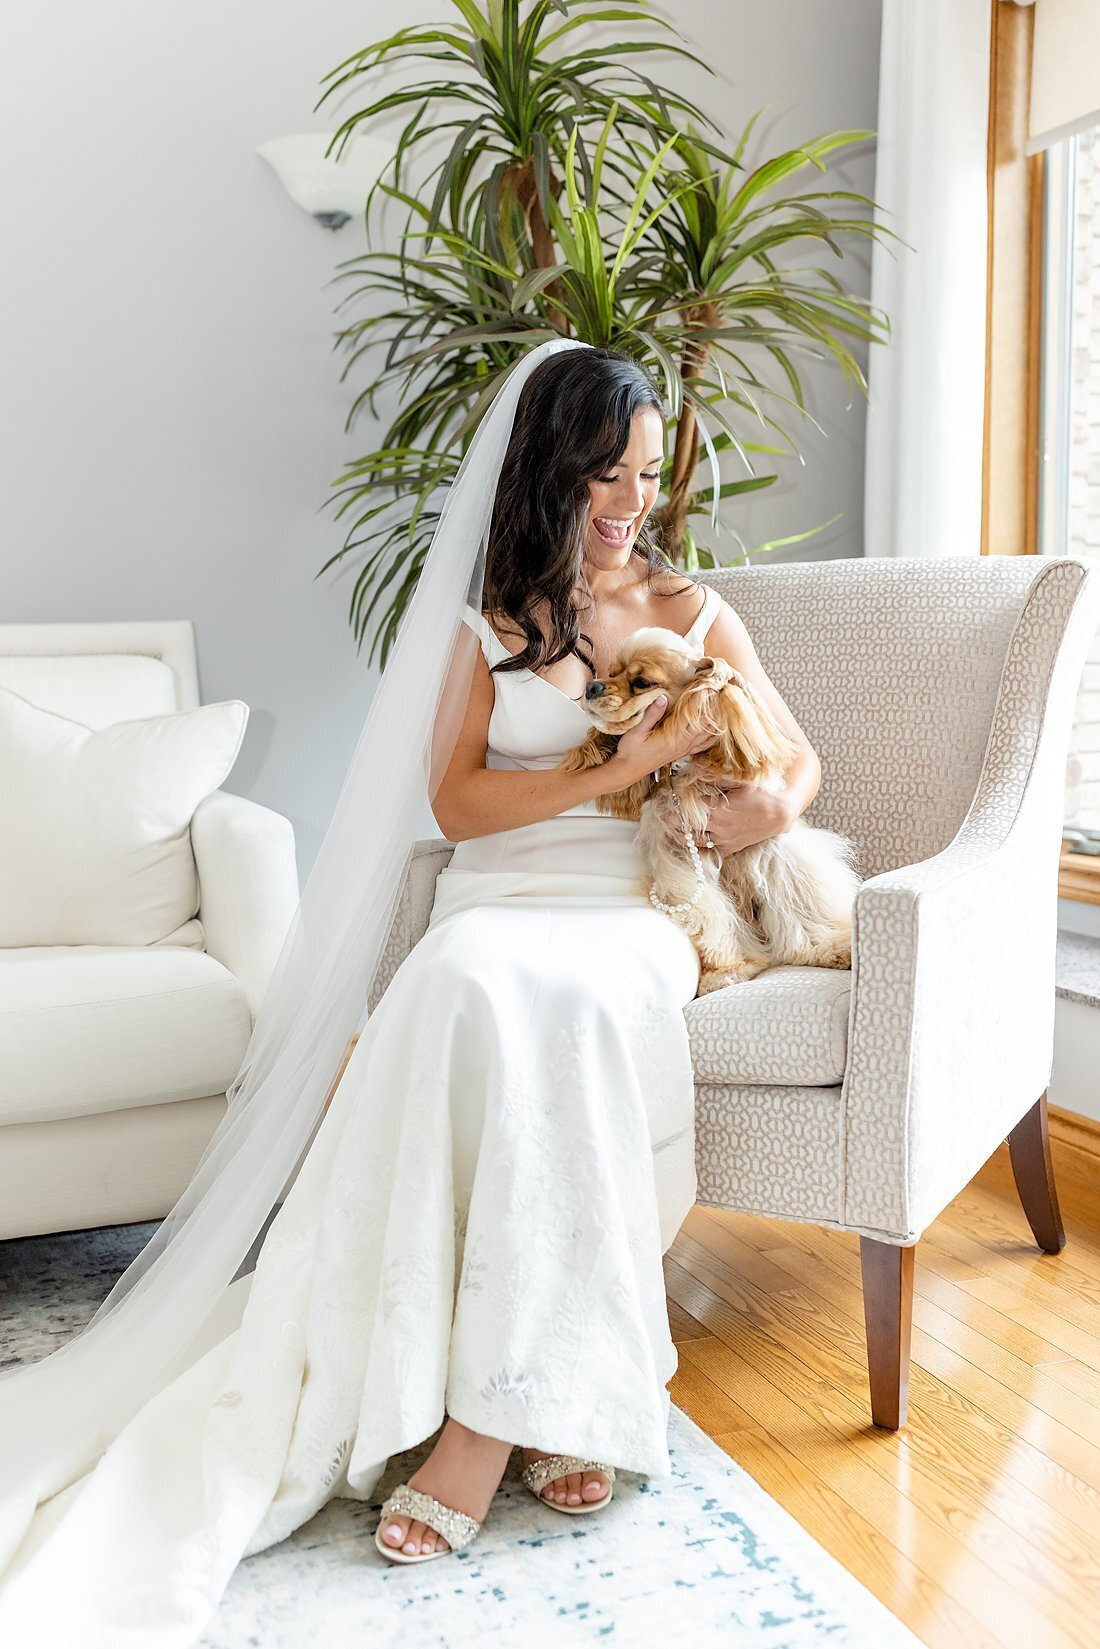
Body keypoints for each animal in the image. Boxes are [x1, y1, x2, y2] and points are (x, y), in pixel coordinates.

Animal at [560, 623, 857, 989]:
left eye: (642, 682)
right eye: (611, 672)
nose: (592, 686)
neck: (688, 771)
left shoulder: (772, 850)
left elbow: (800, 907)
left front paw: (827, 948)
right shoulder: (680, 862)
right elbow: (711, 917)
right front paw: (728, 969)